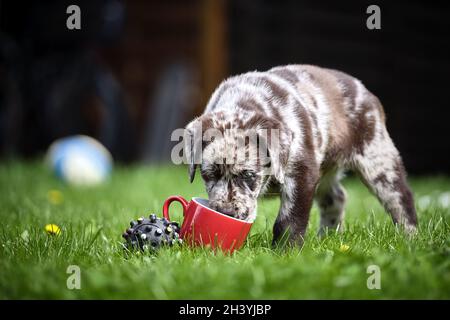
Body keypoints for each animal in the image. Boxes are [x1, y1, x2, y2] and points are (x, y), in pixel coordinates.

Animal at [185, 65, 416, 245]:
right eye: (208, 175)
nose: (227, 213)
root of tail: (366, 92)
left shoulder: (301, 173)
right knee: (336, 198)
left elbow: (289, 221)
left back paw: (410, 239)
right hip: (326, 173)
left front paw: (285, 252)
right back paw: (327, 237)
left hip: (377, 160)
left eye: (249, 176)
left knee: (401, 199)